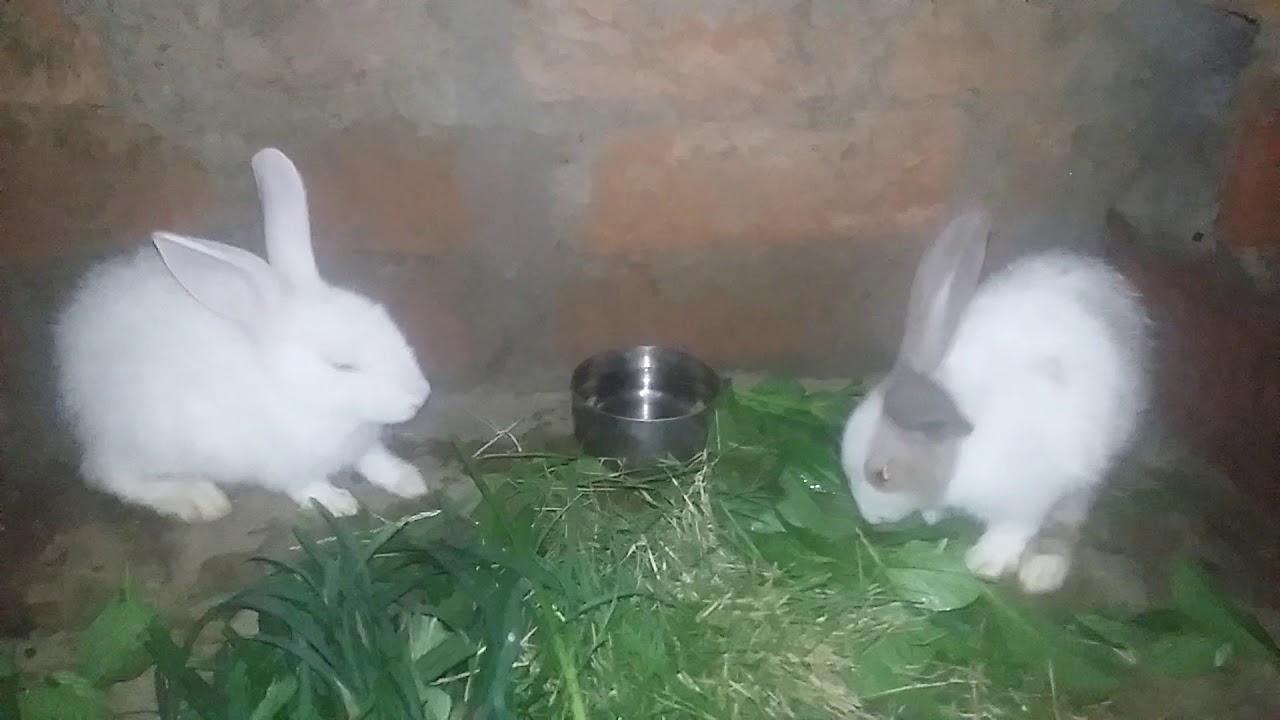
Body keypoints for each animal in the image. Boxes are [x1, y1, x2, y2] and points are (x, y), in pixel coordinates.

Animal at [51, 148, 434, 522]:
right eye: (341, 365)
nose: (420, 396)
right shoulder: (283, 464)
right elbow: (307, 485)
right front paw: (339, 503)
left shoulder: (362, 443)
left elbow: (375, 459)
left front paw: (409, 480)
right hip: (143, 439)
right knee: (110, 475)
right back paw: (198, 498)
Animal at [840, 209, 1153, 594]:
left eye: (882, 475)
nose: (870, 517)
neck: (963, 446)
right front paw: (934, 515)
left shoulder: (1028, 493)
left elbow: (1014, 527)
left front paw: (985, 562)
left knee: (1070, 513)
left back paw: (1041, 572)